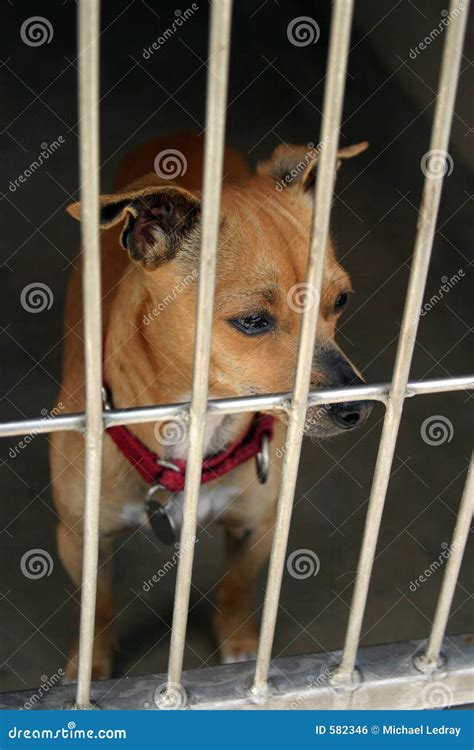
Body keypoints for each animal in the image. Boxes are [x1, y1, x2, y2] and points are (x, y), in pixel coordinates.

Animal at [49, 132, 374, 684]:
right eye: (252, 321)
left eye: (342, 301)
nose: (358, 408)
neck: (199, 429)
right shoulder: (79, 537)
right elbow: (98, 608)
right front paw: (89, 668)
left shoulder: (255, 527)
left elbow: (237, 588)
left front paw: (241, 647)